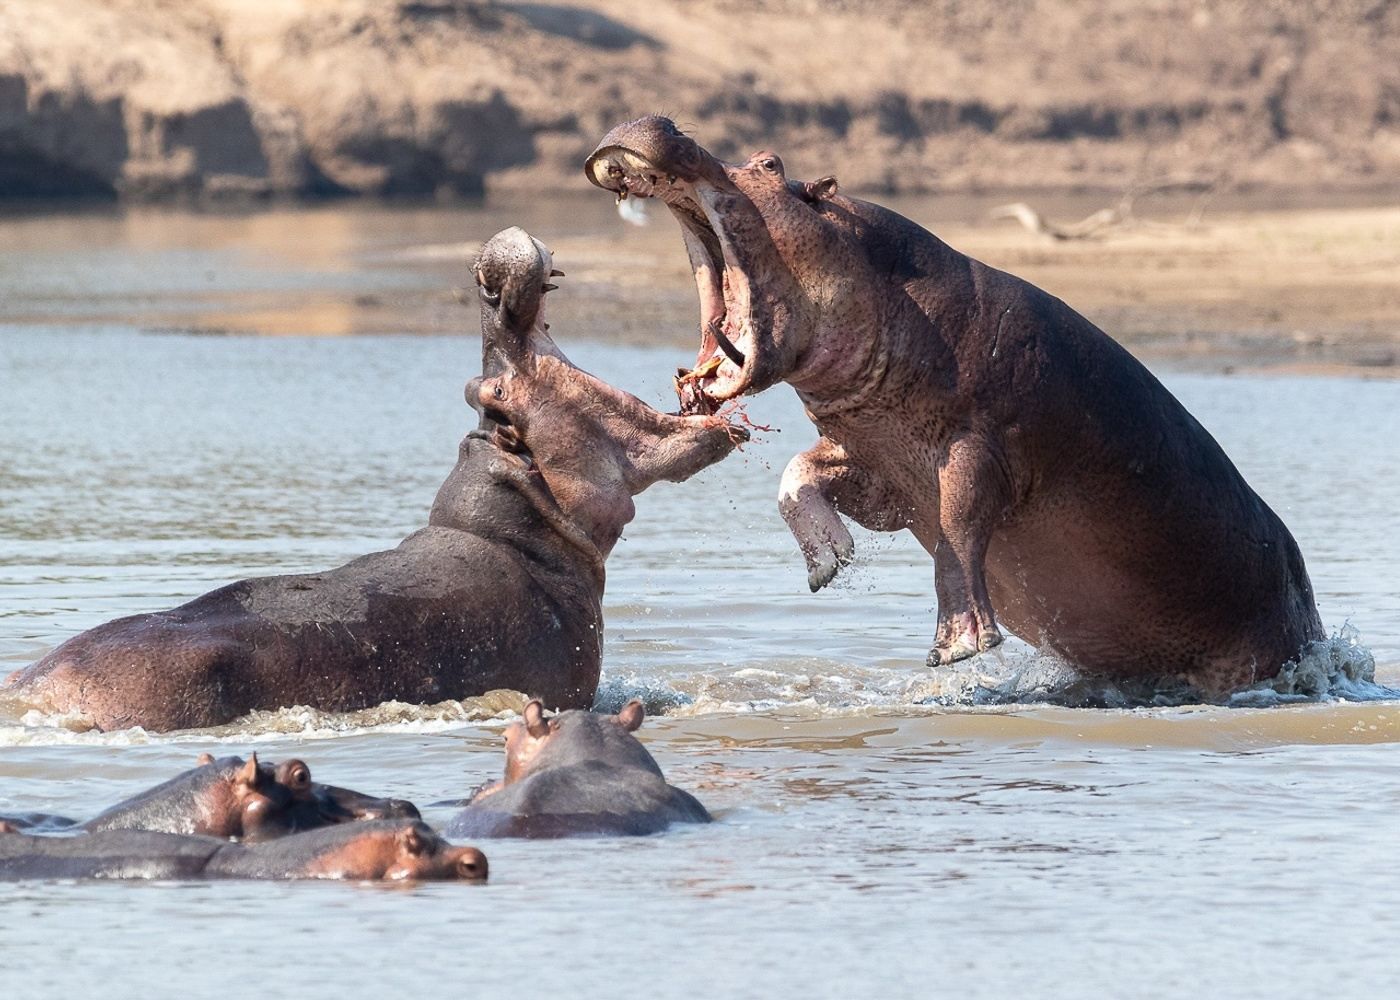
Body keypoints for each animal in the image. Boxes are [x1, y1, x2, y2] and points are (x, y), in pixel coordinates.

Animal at [586, 117, 1324, 696]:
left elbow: (958, 524)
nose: (665, 123)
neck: (891, 285)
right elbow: (798, 476)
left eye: (771, 164)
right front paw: (829, 563)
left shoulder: (975, 444)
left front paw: (959, 648)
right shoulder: (878, 465)